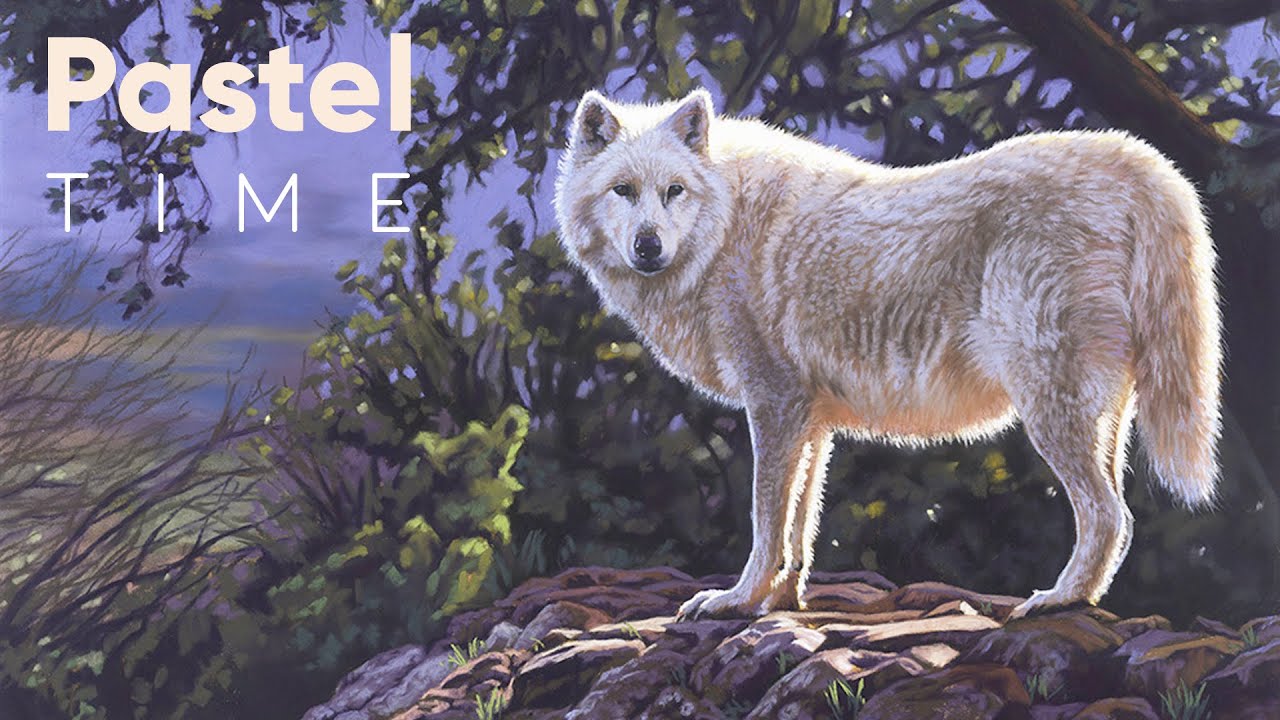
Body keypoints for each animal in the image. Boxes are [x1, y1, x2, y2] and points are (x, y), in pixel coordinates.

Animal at [552, 88, 1222, 619]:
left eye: (674, 191)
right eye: (622, 191)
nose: (648, 246)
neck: (725, 225)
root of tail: (1139, 161)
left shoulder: (773, 404)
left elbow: (766, 520)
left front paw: (736, 600)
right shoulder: (810, 419)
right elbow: (800, 527)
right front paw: (781, 602)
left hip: (1049, 409)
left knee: (1110, 516)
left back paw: (1057, 601)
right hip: (1100, 416)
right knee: (1119, 515)